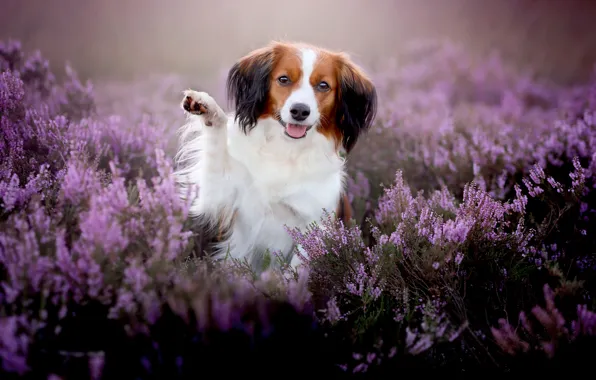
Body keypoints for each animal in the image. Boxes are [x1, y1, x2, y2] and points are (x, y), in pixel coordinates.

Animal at [173, 41, 378, 270]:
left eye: (323, 85)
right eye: (284, 79)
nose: (300, 111)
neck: (286, 150)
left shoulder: (315, 225)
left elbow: (295, 272)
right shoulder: (221, 194)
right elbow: (217, 141)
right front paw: (208, 108)